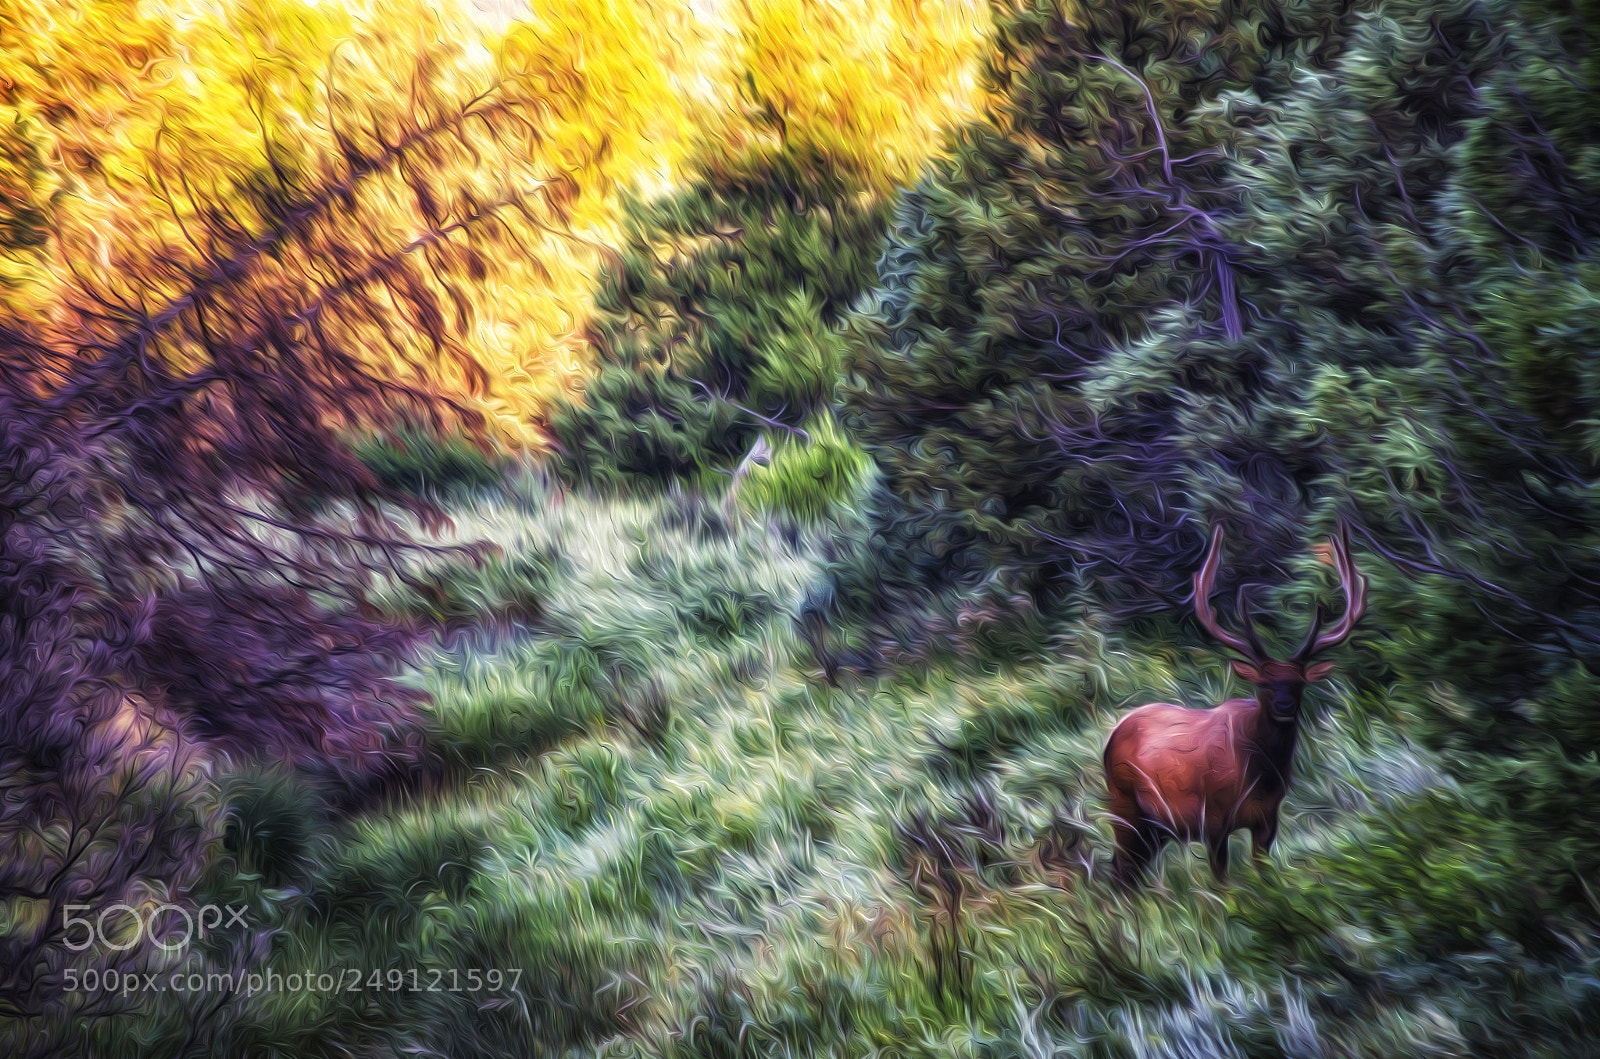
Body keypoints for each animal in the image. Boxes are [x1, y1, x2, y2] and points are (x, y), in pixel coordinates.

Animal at [1103, 524, 1366, 887]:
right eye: (1263, 683)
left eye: (1299, 683)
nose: (1284, 705)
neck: (1259, 775)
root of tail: (1111, 736)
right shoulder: (1212, 819)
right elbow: (1222, 881)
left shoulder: (1268, 820)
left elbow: (1263, 874)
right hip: (1124, 802)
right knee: (1119, 868)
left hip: (1155, 827)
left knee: (1128, 871)